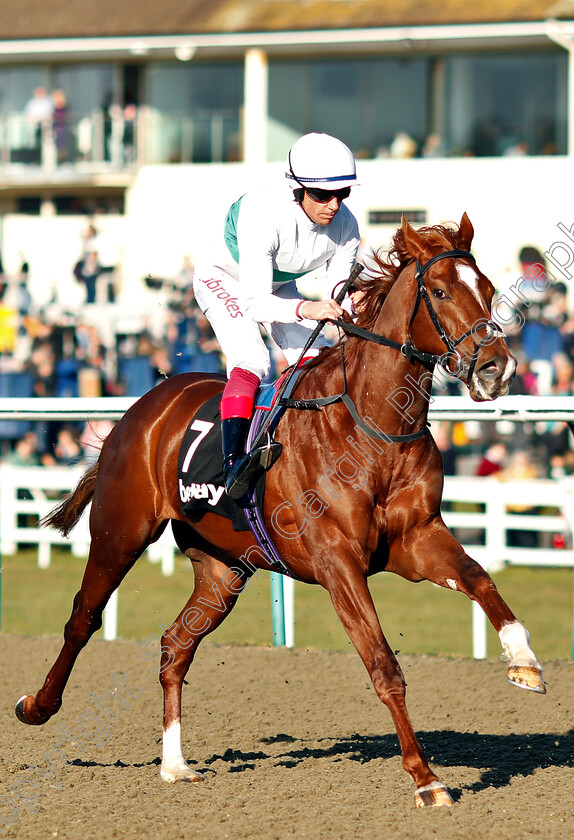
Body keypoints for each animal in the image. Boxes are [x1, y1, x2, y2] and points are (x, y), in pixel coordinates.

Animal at [14, 215, 544, 808]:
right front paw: (426, 779)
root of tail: (141, 408)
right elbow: (383, 665)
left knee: (176, 644)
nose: (497, 368)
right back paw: (37, 706)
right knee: (83, 618)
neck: (373, 427)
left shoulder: (416, 539)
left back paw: (174, 763)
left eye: (490, 290)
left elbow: (479, 578)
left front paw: (523, 661)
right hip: (119, 532)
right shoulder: (338, 561)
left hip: (223, 568)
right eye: (440, 291)